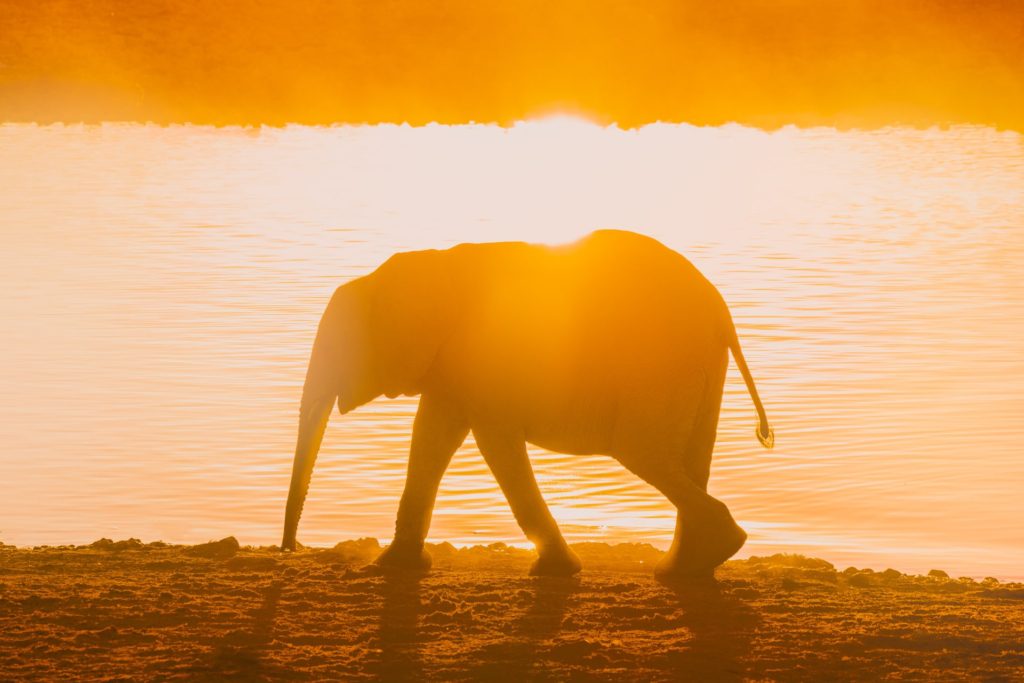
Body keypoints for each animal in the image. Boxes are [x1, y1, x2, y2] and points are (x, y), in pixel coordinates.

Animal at [280, 229, 773, 578]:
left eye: (337, 348)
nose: (290, 551)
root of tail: (722, 315)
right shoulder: (452, 366)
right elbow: (432, 436)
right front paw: (394, 568)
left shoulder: (484, 362)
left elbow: (492, 442)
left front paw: (556, 572)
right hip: (699, 368)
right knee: (686, 459)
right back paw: (687, 568)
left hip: (659, 366)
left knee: (641, 452)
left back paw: (706, 554)